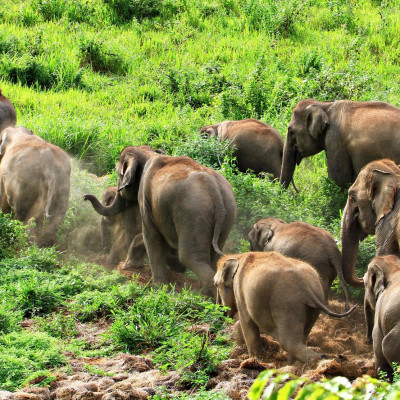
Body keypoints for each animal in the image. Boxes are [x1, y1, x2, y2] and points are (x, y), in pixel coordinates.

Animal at [83, 145, 236, 296]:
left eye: (119, 174)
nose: (85, 197)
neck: (148, 152)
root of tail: (215, 189)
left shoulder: (145, 199)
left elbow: (151, 235)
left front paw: (159, 287)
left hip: (193, 213)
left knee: (190, 257)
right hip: (227, 214)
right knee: (214, 256)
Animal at [214, 253, 354, 362]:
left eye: (215, 284)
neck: (238, 256)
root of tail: (305, 285)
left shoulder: (241, 293)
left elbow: (247, 322)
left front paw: (257, 359)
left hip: (286, 303)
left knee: (288, 342)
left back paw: (324, 358)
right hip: (312, 306)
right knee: (301, 336)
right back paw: (292, 364)